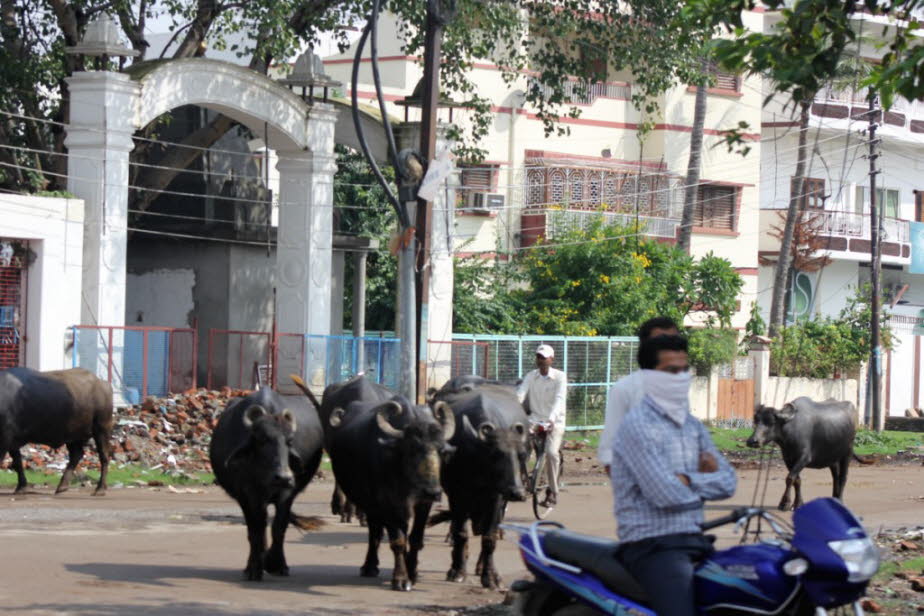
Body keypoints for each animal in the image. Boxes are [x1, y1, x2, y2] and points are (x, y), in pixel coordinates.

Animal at [0, 366, 114, 496]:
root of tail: (102, 383)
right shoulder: (12, 441)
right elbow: (18, 462)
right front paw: (21, 487)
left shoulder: (5, 438)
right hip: (74, 435)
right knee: (77, 454)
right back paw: (62, 486)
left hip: (102, 428)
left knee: (104, 456)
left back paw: (100, 489)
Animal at [209, 388, 324, 580]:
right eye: (262, 439)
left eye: (289, 441)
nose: (283, 477)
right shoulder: (248, 495)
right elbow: (255, 530)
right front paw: (255, 568)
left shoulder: (286, 494)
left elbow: (279, 527)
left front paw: (276, 564)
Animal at [290, 376, 452, 592]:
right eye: (412, 449)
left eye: (441, 450)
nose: (433, 491)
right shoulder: (387, 503)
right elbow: (398, 540)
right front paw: (401, 578)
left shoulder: (423, 504)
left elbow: (416, 539)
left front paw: (413, 573)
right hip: (369, 501)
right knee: (374, 532)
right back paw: (369, 565)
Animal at [428, 380, 528, 588]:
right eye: (496, 454)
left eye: (521, 455)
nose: (517, 492)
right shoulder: (456, 494)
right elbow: (460, 533)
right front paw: (457, 571)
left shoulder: (496, 497)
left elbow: (489, 537)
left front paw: (490, 577)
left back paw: (481, 566)